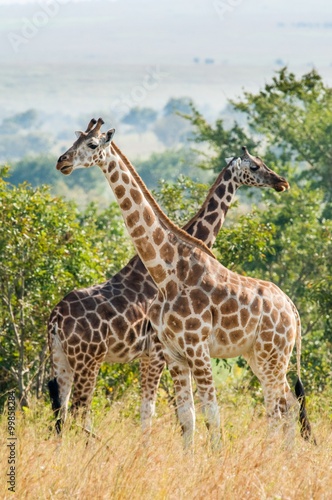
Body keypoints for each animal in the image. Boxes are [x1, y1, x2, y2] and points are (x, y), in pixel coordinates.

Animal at [50, 119, 312, 448]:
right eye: (255, 165)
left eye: (92, 144)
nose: (62, 161)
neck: (167, 272)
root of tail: (292, 307)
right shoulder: (170, 353)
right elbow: (187, 417)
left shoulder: (184, 351)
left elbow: (199, 414)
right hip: (81, 359)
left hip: (270, 354)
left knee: (281, 404)